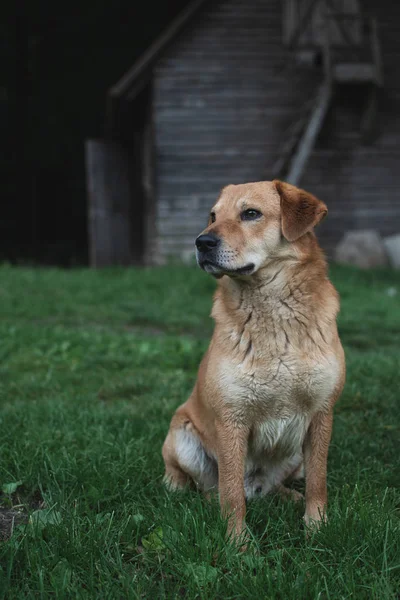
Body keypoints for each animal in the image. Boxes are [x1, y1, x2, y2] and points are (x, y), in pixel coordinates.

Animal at [161, 180, 346, 540]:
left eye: (250, 213)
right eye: (213, 216)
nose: (202, 242)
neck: (274, 316)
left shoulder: (321, 413)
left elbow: (319, 480)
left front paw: (316, 527)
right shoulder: (232, 419)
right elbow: (231, 493)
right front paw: (237, 542)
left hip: (293, 455)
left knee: (274, 486)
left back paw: (288, 496)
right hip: (182, 436)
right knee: (204, 487)